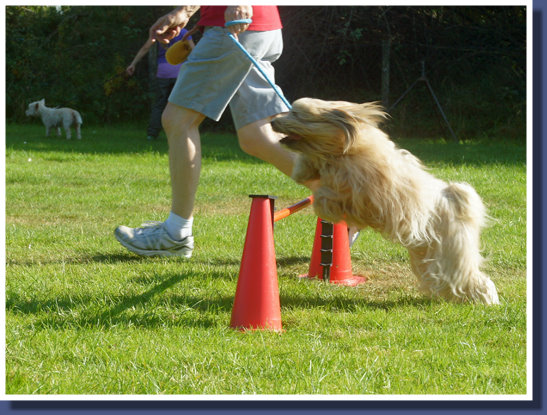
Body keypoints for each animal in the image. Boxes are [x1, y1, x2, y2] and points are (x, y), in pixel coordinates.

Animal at [272, 98, 498, 306]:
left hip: (450, 254)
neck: (344, 150)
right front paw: (304, 171)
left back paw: (487, 299)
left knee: (469, 278)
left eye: (297, 114)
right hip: (428, 255)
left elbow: (330, 195)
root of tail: (454, 200)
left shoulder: (365, 193)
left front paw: (323, 201)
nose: (273, 121)